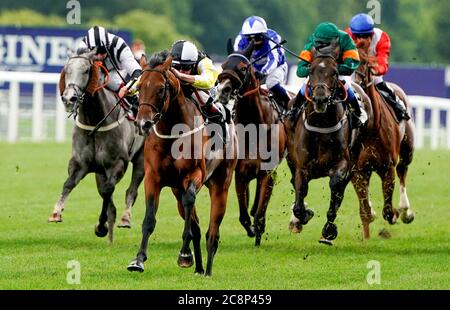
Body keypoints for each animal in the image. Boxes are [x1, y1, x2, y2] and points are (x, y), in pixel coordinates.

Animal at [47, 48, 143, 243]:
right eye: (66, 70)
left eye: (85, 70)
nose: (69, 98)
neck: (95, 122)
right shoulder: (81, 163)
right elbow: (69, 184)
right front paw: (56, 212)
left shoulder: (117, 163)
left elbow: (108, 191)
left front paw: (101, 226)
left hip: (142, 158)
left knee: (132, 189)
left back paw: (125, 218)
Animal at [127, 50, 239, 276]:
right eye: (140, 86)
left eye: (161, 89)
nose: (143, 123)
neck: (173, 133)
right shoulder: (153, 178)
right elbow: (149, 219)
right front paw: (138, 260)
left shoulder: (193, 175)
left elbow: (190, 203)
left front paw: (184, 254)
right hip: (176, 190)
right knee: (196, 225)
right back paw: (199, 267)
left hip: (221, 185)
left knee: (212, 231)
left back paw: (207, 270)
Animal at [216, 46, 286, 245]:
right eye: (222, 65)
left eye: (242, 67)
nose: (223, 90)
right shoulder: (240, 173)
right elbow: (244, 215)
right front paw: (252, 229)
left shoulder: (268, 173)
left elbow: (260, 212)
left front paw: (259, 231)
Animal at [284, 48, 370, 245]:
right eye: (310, 71)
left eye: (335, 73)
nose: (320, 99)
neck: (321, 124)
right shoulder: (301, 166)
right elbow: (300, 192)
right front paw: (303, 215)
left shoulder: (343, 163)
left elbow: (336, 185)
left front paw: (329, 229)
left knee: (340, 189)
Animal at [354, 40, 416, 239]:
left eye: (363, 63)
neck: (370, 127)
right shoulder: (358, 169)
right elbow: (365, 211)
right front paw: (366, 237)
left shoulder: (387, 166)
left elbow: (388, 210)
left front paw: (396, 213)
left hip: (407, 149)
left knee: (403, 169)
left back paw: (405, 211)